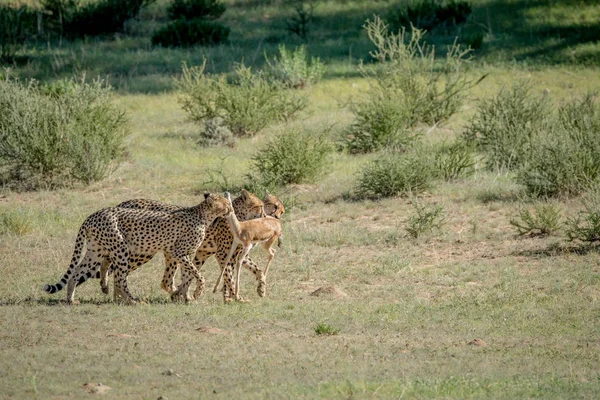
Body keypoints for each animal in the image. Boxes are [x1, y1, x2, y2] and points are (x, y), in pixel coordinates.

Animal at [44, 193, 232, 304]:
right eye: (225, 203)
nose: (230, 210)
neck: (204, 216)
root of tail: (92, 215)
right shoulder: (179, 252)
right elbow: (199, 276)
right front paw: (195, 293)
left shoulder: (185, 253)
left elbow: (187, 276)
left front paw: (184, 296)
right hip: (124, 250)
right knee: (119, 276)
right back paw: (132, 300)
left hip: (96, 251)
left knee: (77, 272)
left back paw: (71, 299)